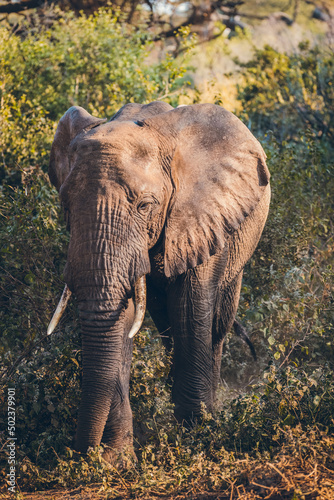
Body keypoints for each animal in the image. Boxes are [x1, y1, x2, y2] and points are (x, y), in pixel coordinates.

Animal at [47, 99, 272, 462]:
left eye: (144, 206)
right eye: (65, 205)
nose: (82, 454)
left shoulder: (201, 216)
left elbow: (190, 310)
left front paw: (196, 443)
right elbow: (122, 319)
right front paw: (117, 462)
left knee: (215, 325)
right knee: (166, 326)